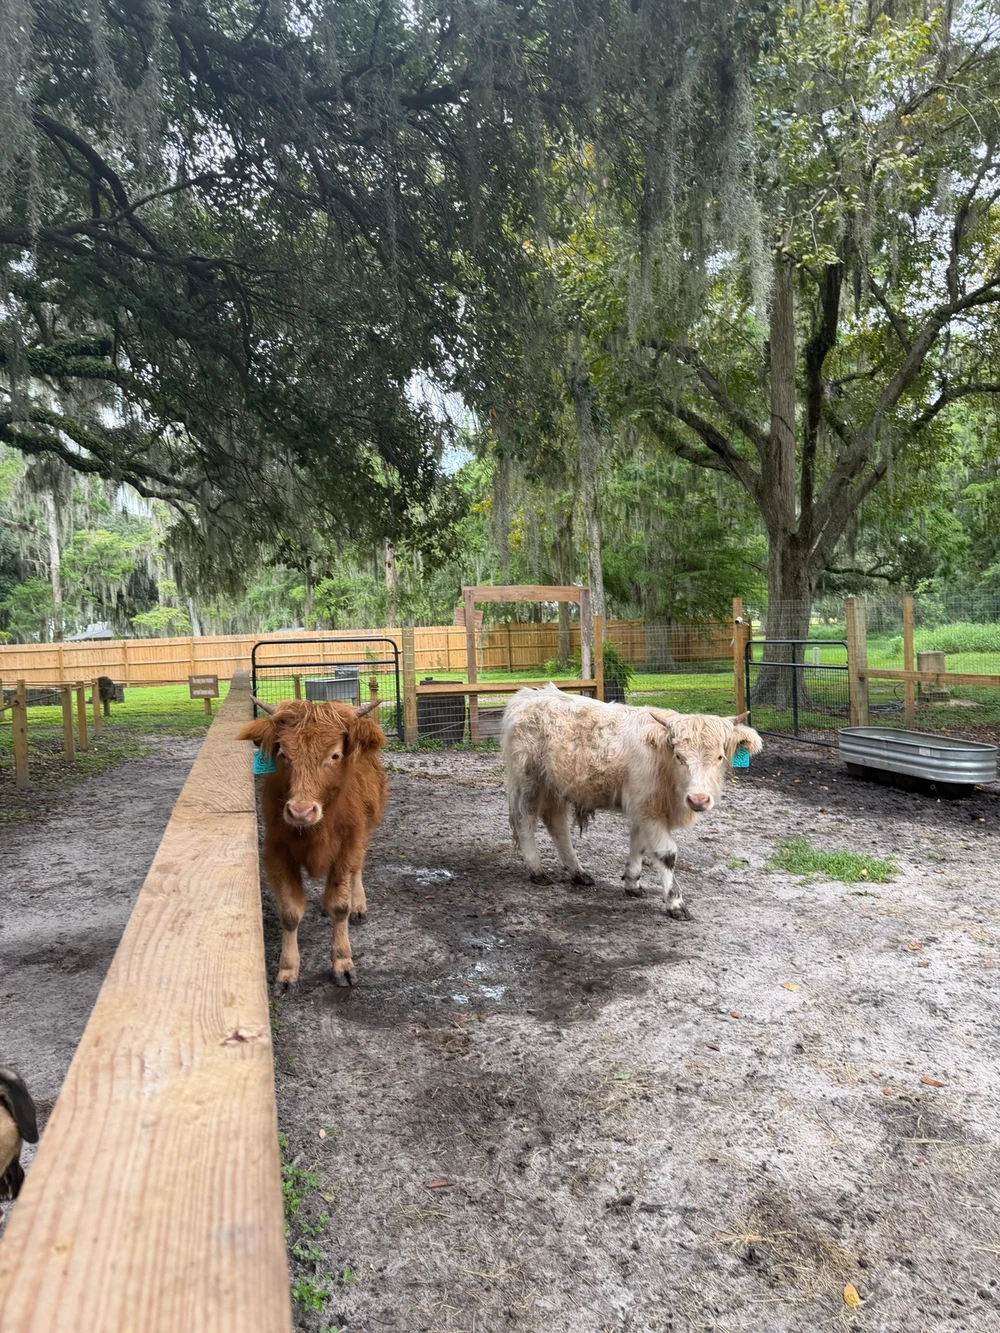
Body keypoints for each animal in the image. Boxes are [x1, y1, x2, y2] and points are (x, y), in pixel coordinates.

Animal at [238, 697, 388, 990]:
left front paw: (343, 962)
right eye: (284, 754)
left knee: (358, 869)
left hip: (363, 834)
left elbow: (339, 906)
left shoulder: (347, 846)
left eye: (334, 755)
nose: (300, 812)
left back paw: (358, 905)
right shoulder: (277, 851)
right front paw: (287, 971)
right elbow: (290, 912)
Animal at [501, 684, 762, 918]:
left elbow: (639, 844)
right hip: (528, 781)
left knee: (556, 824)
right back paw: (537, 871)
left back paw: (578, 872)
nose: (698, 799)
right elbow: (667, 854)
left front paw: (632, 883)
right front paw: (675, 902)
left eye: (719, 757)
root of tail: (530, 694)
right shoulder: (648, 809)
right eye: (679, 756)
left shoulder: (643, 807)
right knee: (525, 820)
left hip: (556, 786)